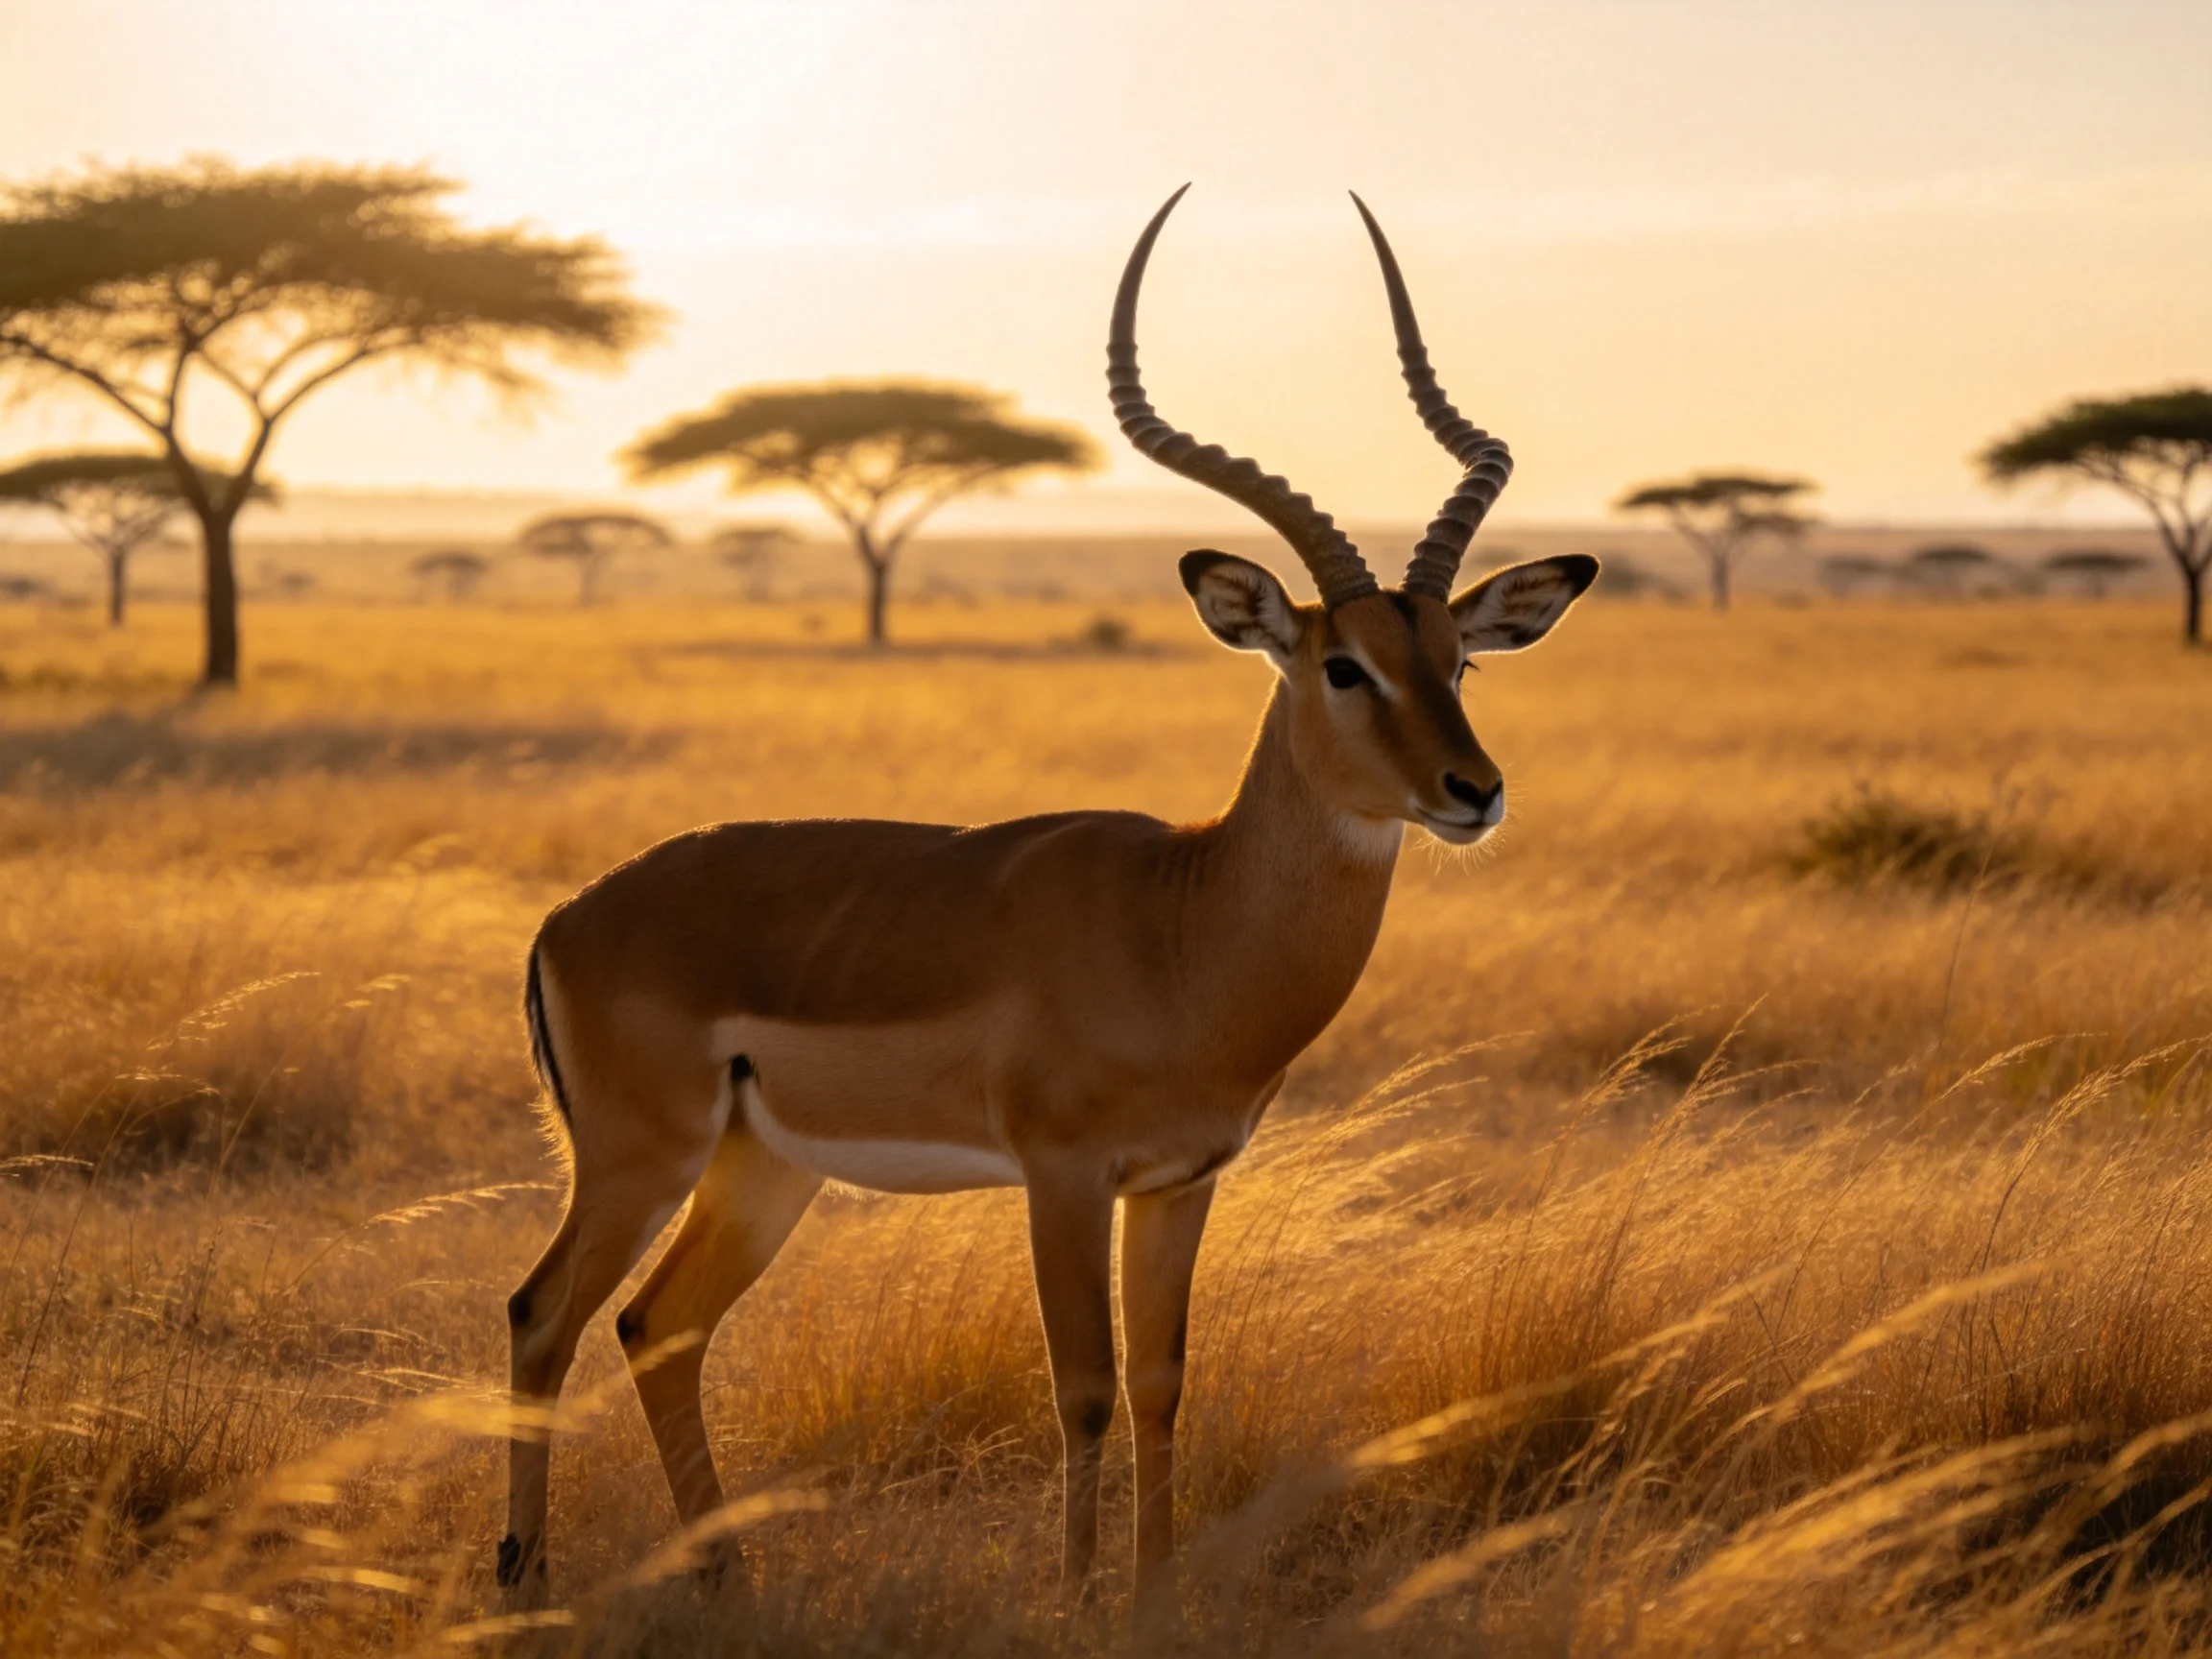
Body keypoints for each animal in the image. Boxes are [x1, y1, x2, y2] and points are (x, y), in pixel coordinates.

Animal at [498, 186, 1596, 1607]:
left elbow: (1164, 1383)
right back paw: (521, 1578)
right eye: (1342, 665)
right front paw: (1075, 1600)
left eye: (1461, 657)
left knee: (656, 1326)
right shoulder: (1062, 1176)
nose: (1474, 790)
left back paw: (725, 1581)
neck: (1186, 928)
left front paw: (1153, 1594)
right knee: (543, 1313)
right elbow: (1082, 1387)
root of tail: (569, 919)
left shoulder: (1178, 1184)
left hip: (761, 1167)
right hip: (644, 1156)